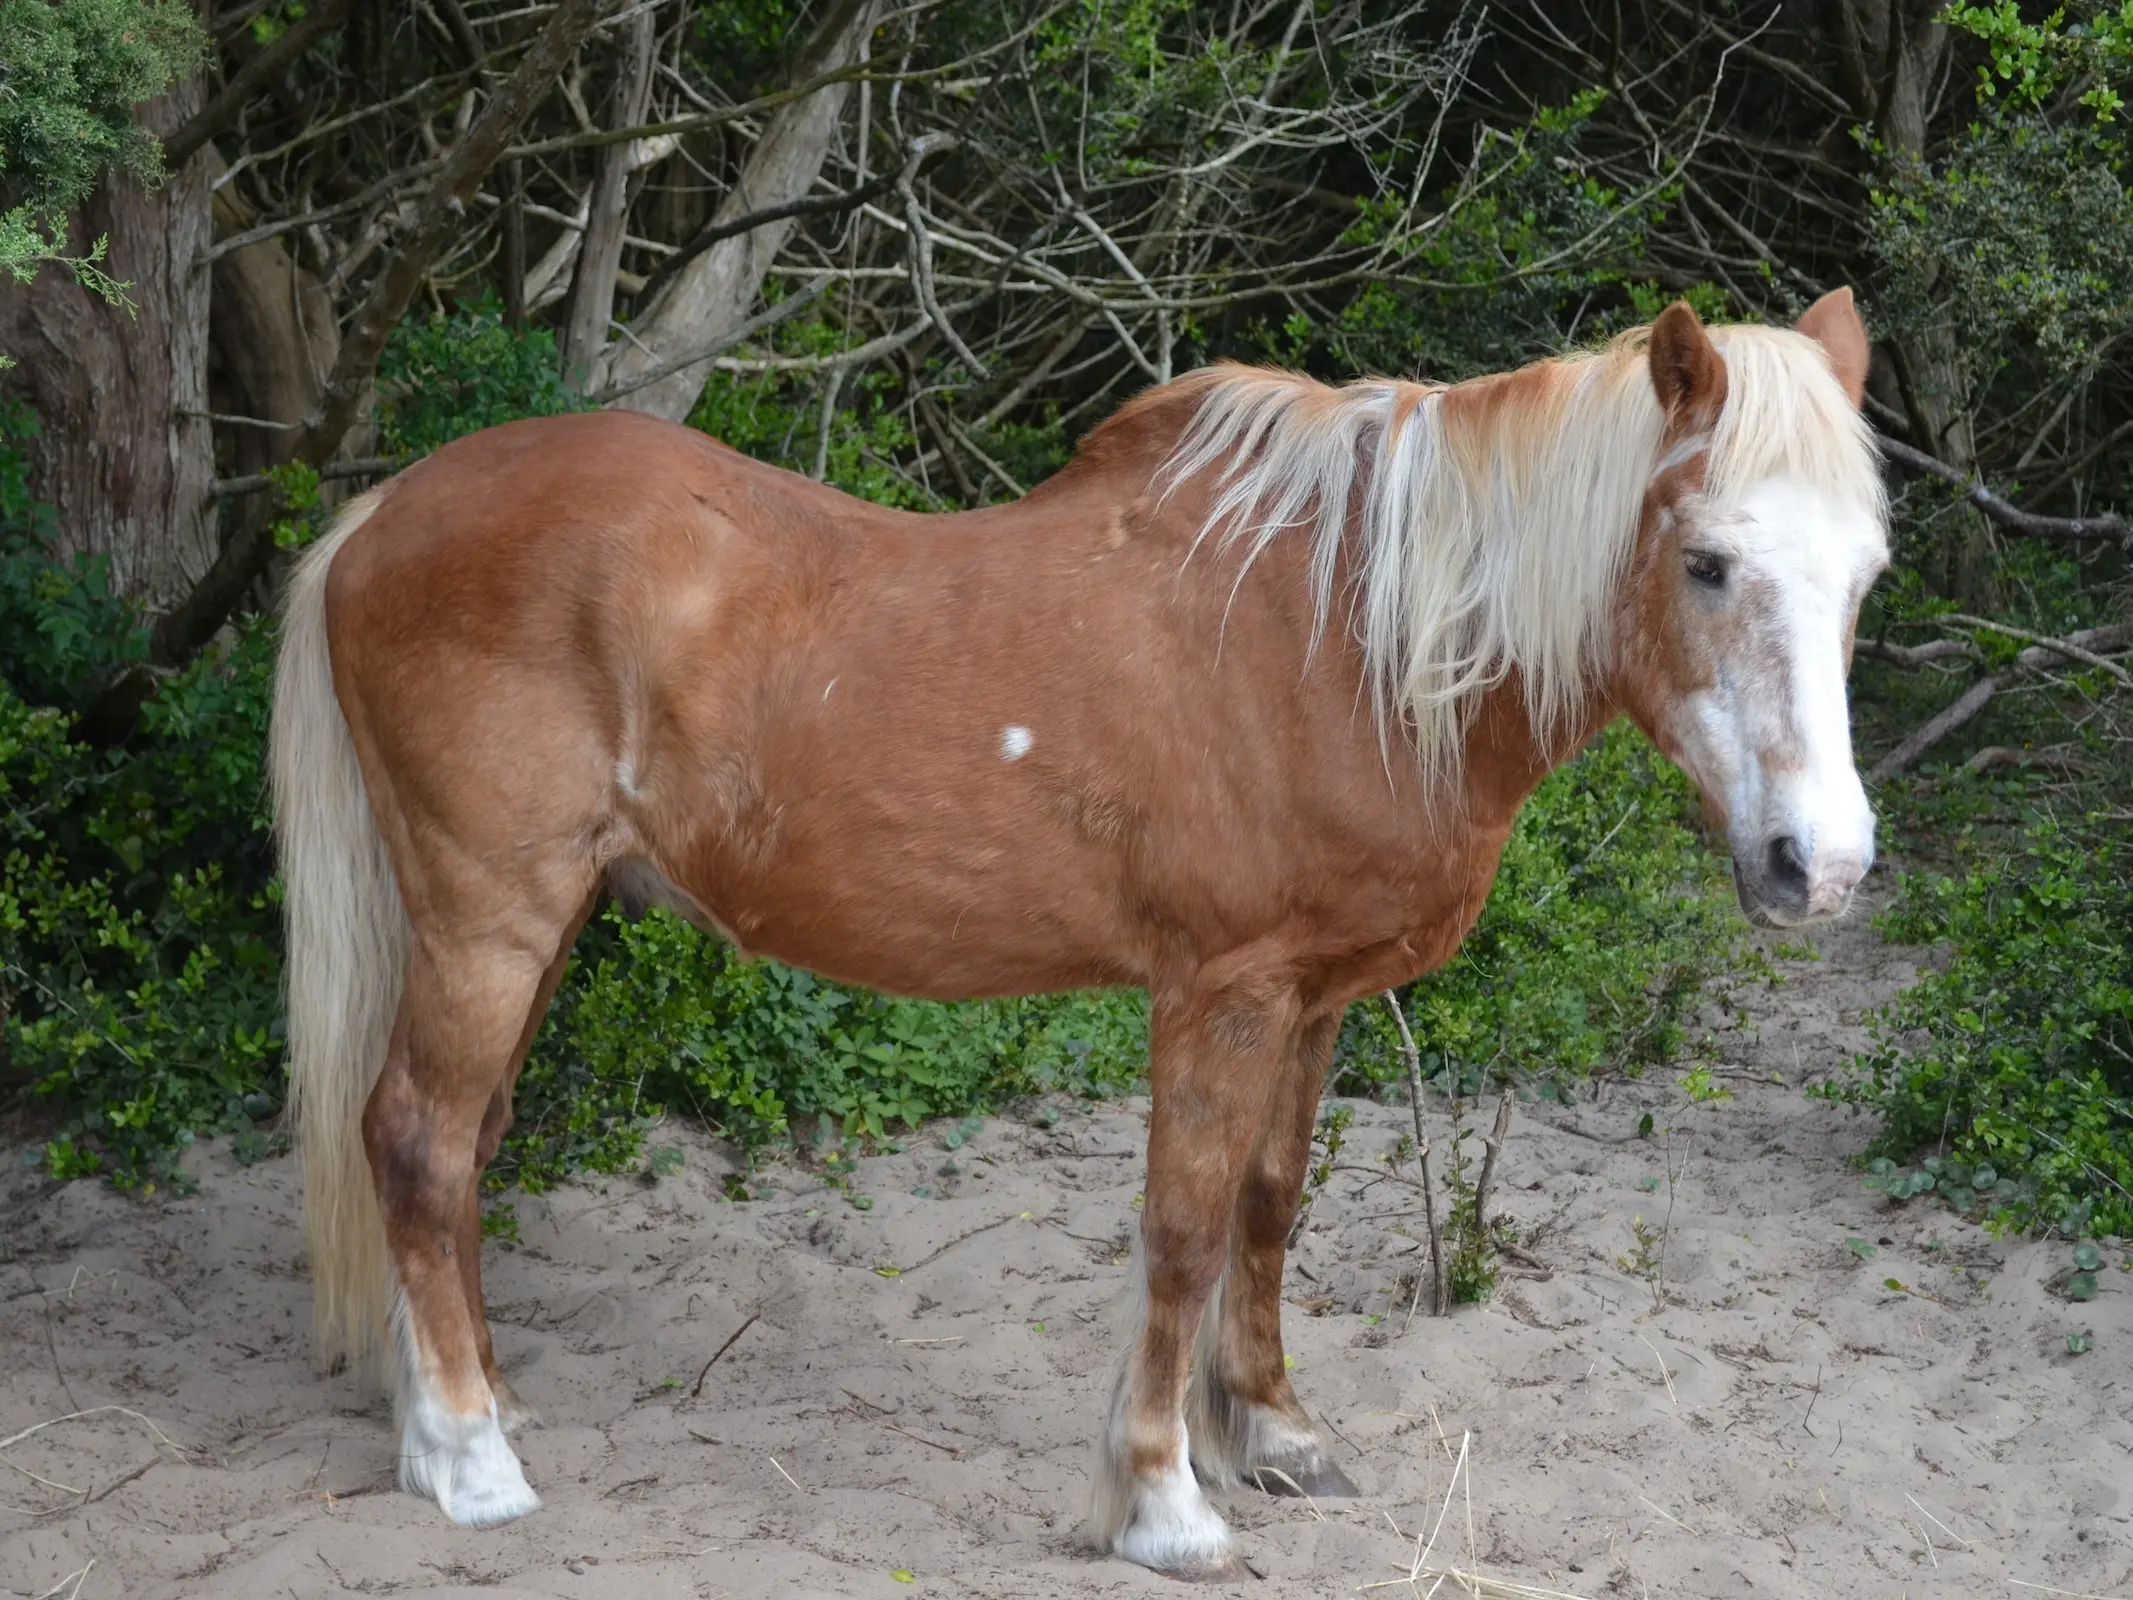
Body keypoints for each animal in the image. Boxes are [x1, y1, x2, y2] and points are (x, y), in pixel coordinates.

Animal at [266, 294, 1885, 1587]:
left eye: (1863, 575)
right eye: (1707, 562)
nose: (1820, 866)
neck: (1348, 639)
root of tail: (376, 519)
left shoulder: (1311, 999)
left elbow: (1267, 1207)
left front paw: (1273, 1434)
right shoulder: (1219, 991)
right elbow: (1181, 1230)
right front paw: (1163, 1502)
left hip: (537, 925)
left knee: (454, 1148)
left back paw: (464, 1419)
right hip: (491, 918)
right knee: (418, 1138)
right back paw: (471, 1464)